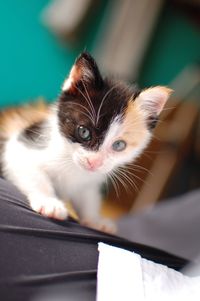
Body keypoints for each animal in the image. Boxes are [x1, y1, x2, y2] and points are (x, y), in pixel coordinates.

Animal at [0, 52, 172, 232]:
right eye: (84, 132)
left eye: (119, 145)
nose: (93, 162)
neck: (72, 165)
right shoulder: (20, 146)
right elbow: (34, 174)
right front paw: (49, 202)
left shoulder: (89, 182)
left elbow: (88, 198)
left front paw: (95, 219)